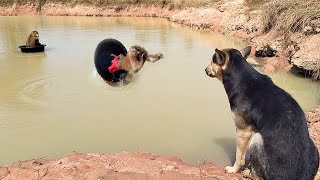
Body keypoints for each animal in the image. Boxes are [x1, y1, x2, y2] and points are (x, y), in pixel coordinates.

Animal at [206, 47, 318, 179]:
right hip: (314, 146)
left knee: (257, 176)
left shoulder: (243, 131)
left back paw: (247, 172)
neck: (241, 76)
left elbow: (239, 156)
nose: (205, 70)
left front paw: (233, 169)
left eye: (213, 60)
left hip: (257, 139)